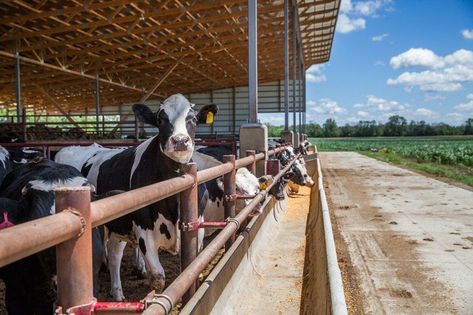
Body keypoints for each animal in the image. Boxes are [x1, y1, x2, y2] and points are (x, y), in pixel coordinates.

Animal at [55, 94, 218, 302]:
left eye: (194, 119)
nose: (180, 140)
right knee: (113, 253)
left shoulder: (197, 226)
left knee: (115, 252)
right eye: (160, 119)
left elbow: (190, 269)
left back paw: (117, 291)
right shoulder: (144, 228)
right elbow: (158, 277)